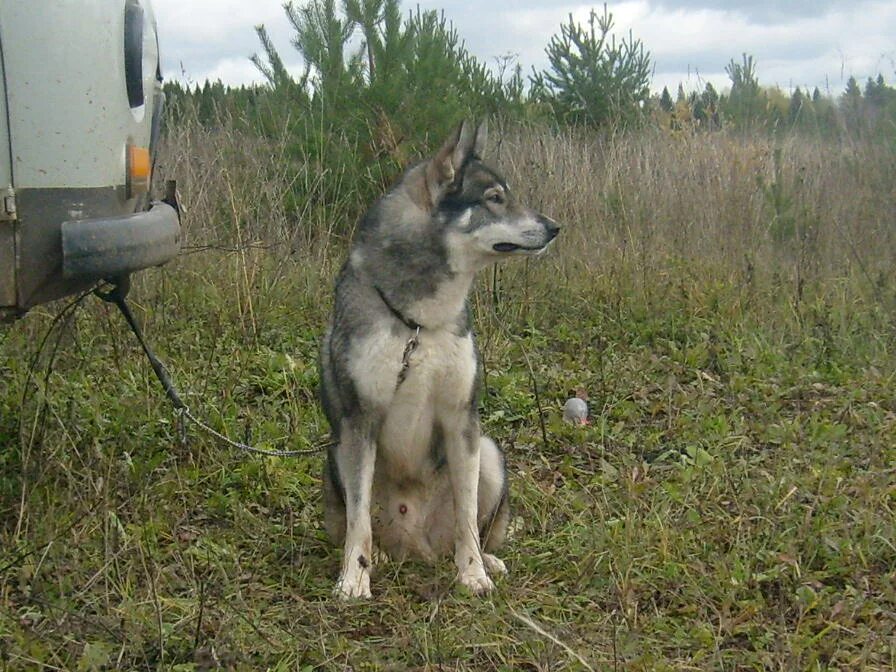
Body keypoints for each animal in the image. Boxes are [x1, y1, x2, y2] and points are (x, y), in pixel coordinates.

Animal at [320, 119, 560, 600]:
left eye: (508, 194)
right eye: (494, 198)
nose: (554, 227)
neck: (419, 323)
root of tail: (419, 548)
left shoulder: (460, 418)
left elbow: (467, 518)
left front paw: (473, 574)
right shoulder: (361, 421)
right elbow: (359, 524)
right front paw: (354, 580)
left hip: (489, 453)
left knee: (473, 530)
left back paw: (485, 560)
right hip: (335, 453)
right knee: (365, 526)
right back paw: (379, 560)